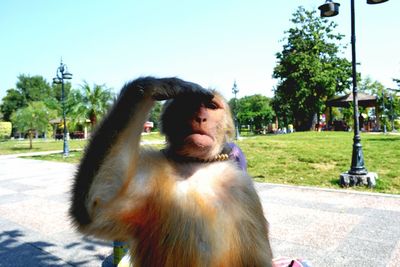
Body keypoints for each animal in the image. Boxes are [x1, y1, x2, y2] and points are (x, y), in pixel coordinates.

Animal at [70, 76, 274, 266]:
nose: (201, 117)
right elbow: (95, 208)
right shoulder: (150, 171)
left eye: (211, 106)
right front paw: (155, 86)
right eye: (189, 104)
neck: (195, 163)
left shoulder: (242, 188)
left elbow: (255, 260)